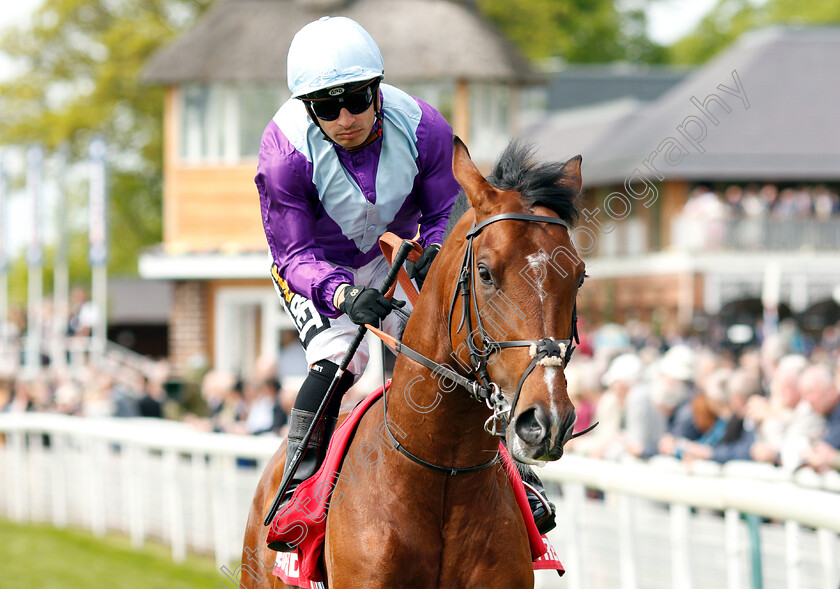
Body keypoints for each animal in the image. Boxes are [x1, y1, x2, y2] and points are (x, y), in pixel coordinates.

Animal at [241, 139, 584, 588]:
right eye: (485, 273)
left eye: (579, 276)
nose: (546, 421)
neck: (442, 473)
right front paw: (360, 303)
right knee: (331, 366)